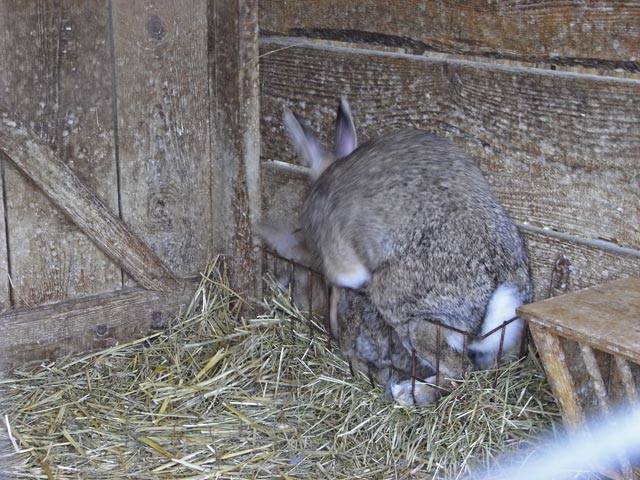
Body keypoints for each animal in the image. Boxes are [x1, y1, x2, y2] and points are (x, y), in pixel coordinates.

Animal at [268, 97, 533, 402]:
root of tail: (503, 285)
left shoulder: (342, 262)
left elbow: (340, 287)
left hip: (411, 316)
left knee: (458, 371)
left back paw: (409, 392)